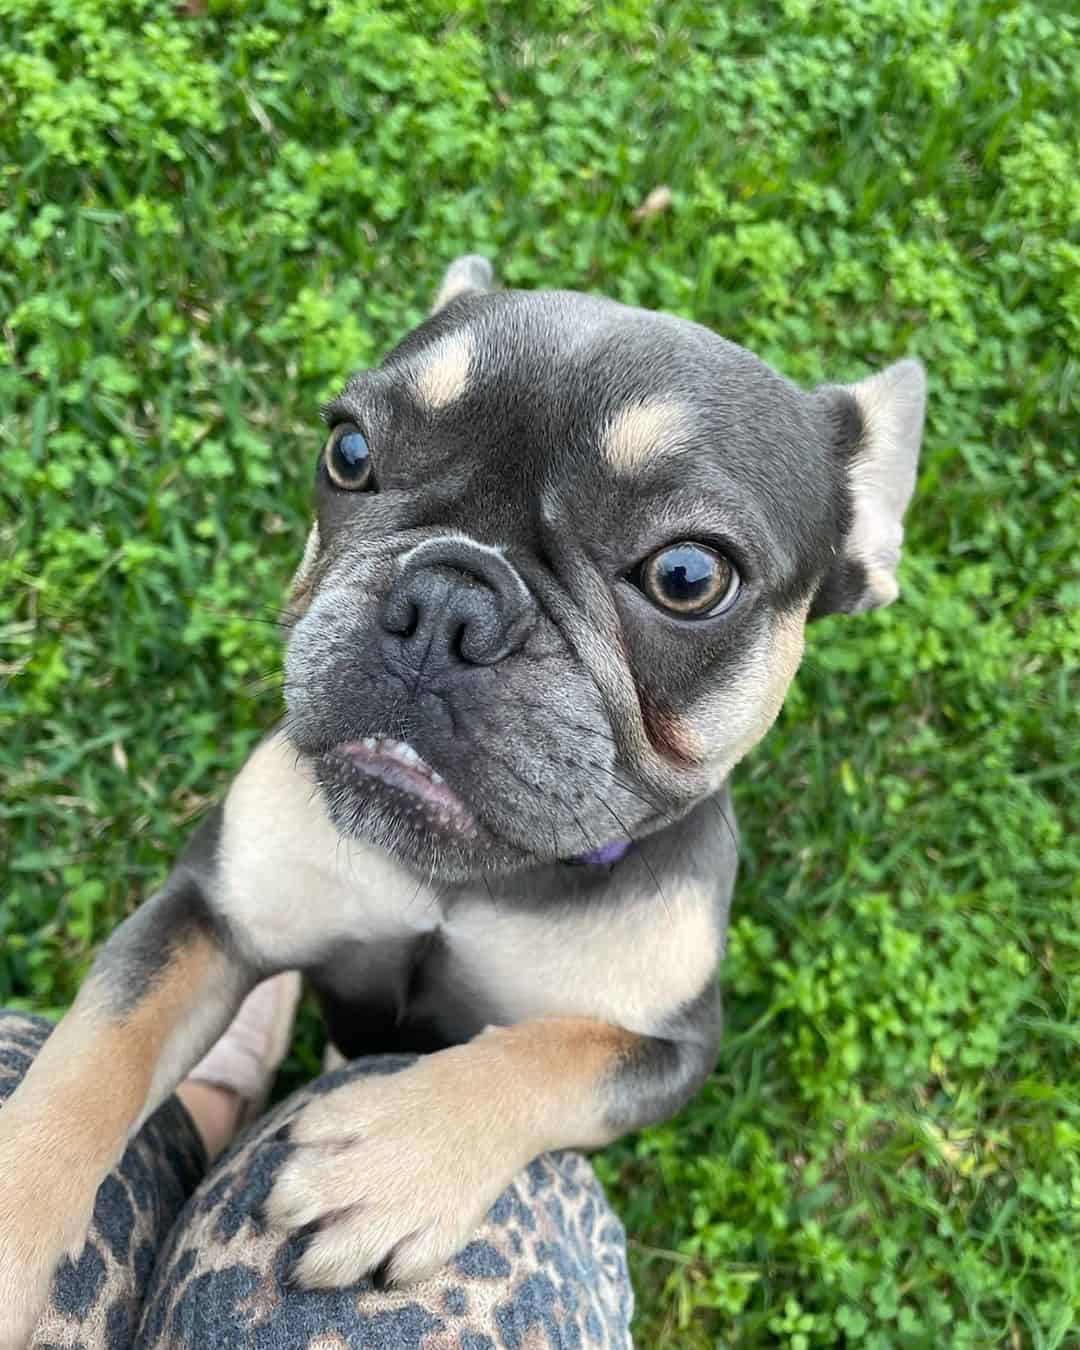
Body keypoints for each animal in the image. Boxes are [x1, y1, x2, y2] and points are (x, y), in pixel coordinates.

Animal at [0, 255, 928, 1339]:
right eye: (349, 451)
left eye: (689, 574)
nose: (449, 597)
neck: (468, 876)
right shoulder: (212, 910)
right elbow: (91, 1060)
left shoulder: (667, 1047)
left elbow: (552, 1054)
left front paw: (392, 1157)